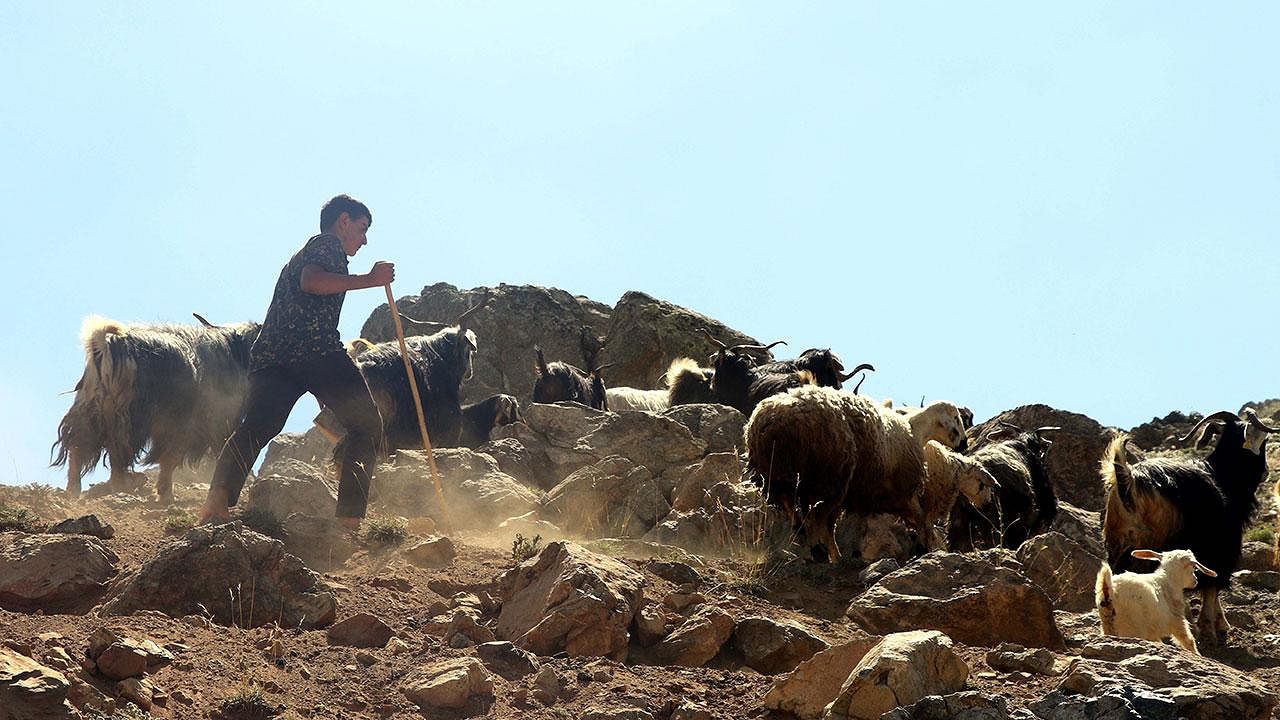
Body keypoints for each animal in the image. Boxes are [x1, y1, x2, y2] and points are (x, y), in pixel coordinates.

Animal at [52, 314, 260, 502]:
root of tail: (106, 345)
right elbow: (171, 459)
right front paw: (165, 494)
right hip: (130, 418)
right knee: (118, 452)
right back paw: (126, 484)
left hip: (90, 411)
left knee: (80, 448)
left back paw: (74, 490)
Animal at [743, 385, 970, 562]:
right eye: (956, 418)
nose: (964, 444)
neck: (915, 431)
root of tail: (775, 419)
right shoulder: (903, 491)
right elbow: (922, 519)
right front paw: (924, 548)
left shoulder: (865, 493)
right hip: (827, 476)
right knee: (814, 515)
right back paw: (818, 551)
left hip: (780, 474)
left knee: (796, 508)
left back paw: (808, 542)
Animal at [1101, 409, 1280, 645]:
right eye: (1263, 440)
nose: (1266, 472)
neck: (1223, 477)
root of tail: (1128, 481)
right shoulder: (1220, 545)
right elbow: (1212, 585)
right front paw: (1210, 628)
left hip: (1119, 544)